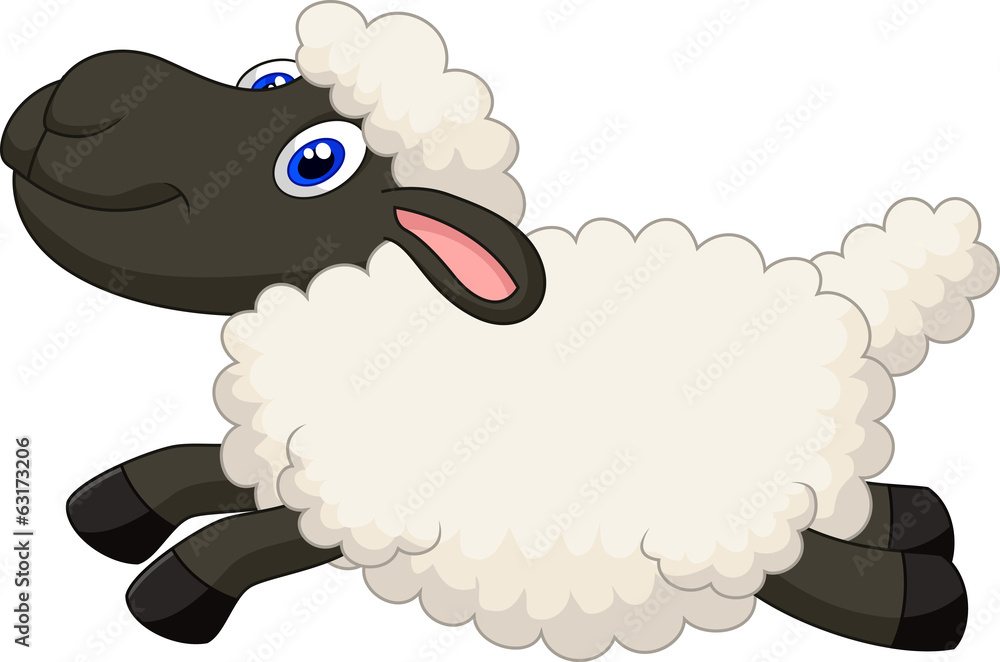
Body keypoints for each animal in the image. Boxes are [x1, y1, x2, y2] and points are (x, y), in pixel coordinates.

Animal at [1, 1, 995, 659]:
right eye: (270, 77)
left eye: (315, 162)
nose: (88, 87)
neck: (392, 318)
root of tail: (845, 300)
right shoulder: (301, 461)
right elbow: (204, 466)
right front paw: (112, 503)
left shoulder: (365, 505)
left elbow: (251, 537)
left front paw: (173, 591)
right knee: (874, 507)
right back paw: (922, 519)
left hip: (728, 513)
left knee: (838, 570)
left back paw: (928, 600)